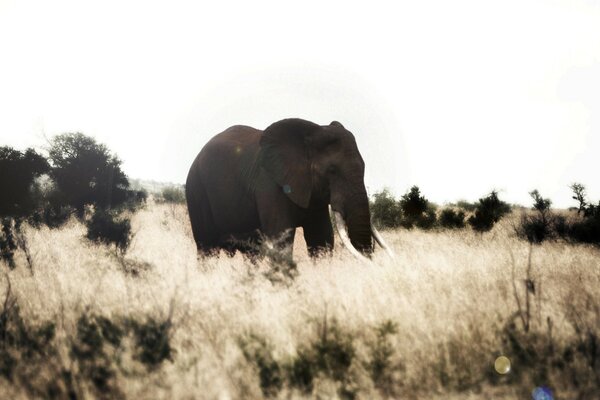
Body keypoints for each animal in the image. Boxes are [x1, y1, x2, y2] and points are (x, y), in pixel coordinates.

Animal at [185, 117, 396, 260]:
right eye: (332, 171)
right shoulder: (270, 183)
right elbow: (281, 239)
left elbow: (321, 239)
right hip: (196, 189)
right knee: (207, 247)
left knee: (251, 252)